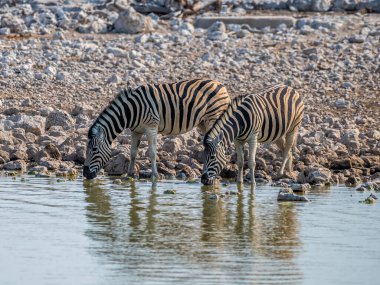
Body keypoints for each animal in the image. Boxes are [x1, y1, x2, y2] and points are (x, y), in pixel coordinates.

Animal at [83, 79, 230, 179]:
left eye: (94, 150)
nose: (85, 174)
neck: (131, 111)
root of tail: (221, 85)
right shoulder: (135, 131)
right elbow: (133, 153)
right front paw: (129, 174)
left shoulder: (151, 127)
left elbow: (152, 152)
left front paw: (154, 175)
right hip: (203, 123)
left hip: (213, 118)